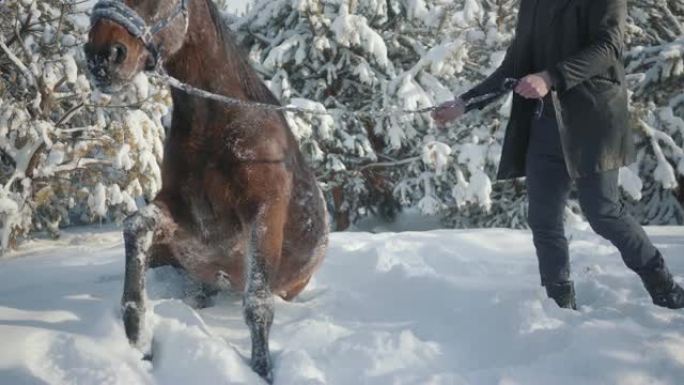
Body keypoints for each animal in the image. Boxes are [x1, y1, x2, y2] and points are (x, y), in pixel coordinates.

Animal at [83, 0, 328, 378]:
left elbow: (258, 303)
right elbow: (134, 226)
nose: (102, 55)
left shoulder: (263, 213)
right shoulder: (187, 219)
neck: (219, 126)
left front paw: (263, 371)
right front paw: (138, 339)